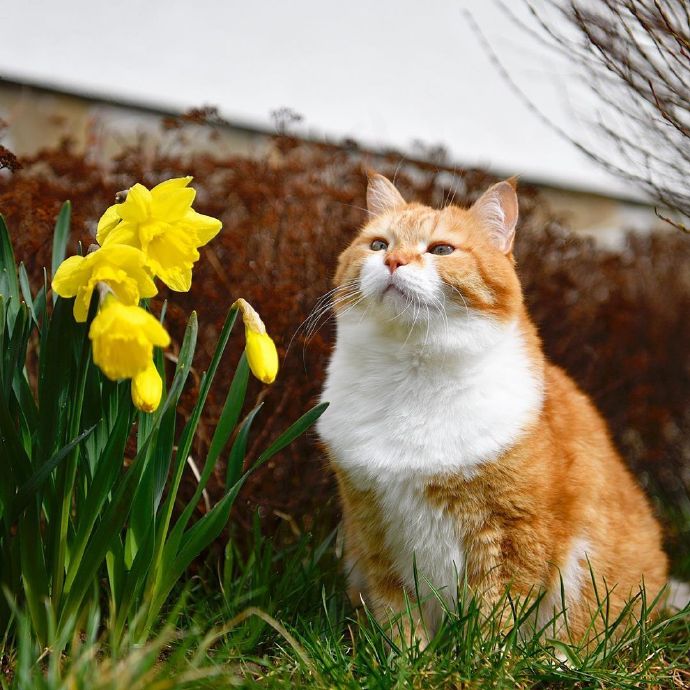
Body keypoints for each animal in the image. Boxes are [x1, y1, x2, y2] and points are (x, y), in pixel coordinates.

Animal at [316, 172, 668, 644]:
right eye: (377, 244)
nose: (393, 260)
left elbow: (494, 614)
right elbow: (398, 615)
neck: (411, 371)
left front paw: (484, 654)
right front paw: (410, 657)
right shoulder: (375, 528)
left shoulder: (511, 531)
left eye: (441, 250)